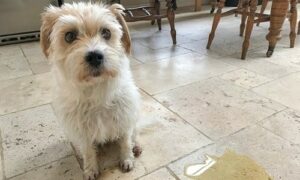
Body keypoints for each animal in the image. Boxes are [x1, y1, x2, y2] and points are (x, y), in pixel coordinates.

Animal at [40, 2, 142, 180]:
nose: (95, 56)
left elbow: (125, 142)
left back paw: (136, 147)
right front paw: (90, 169)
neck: (95, 91)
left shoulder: (124, 120)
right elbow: (88, 152)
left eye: (106, 32)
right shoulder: (83, 133)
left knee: (133, 136)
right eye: (69, 36)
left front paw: (127, 159)